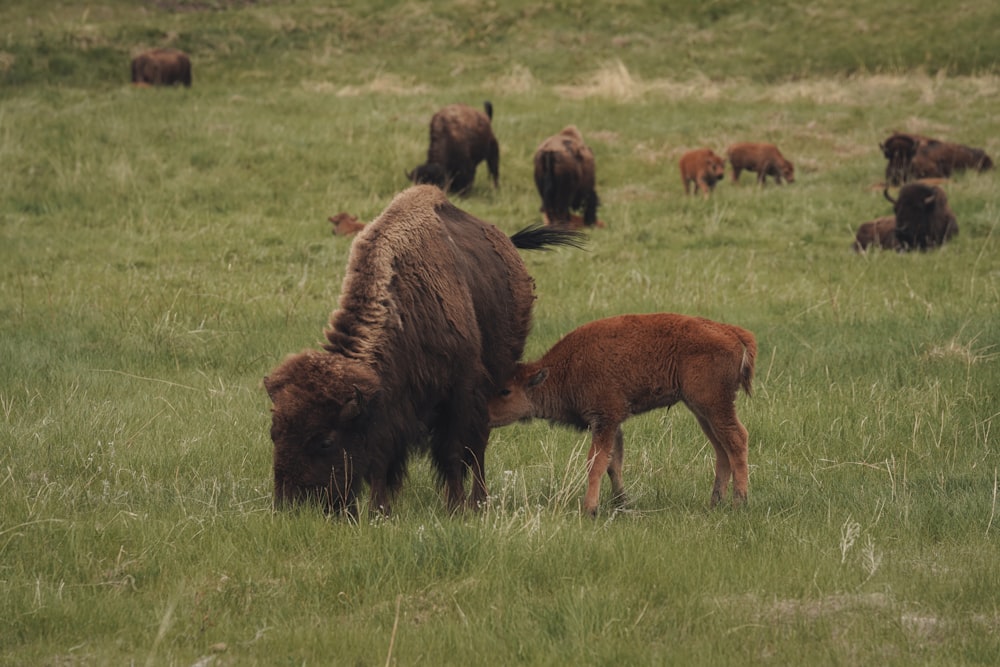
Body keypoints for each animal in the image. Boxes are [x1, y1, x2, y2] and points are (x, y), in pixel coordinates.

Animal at [262, 185, 584, 520]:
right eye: (274, 433)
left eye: (325, 441)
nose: (292, 507)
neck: (405, 309)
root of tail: (505, 242)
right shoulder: (389, 409)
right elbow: (382, 459)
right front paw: (380, 510)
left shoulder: (460, 391)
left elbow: (454, 451)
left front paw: (455, 508)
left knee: (478, 446)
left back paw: (478, 501)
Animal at [488, 314, 752, 516]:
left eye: (506, 391)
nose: (486, 415)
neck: (566, 367)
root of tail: (731, 331)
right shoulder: (612, 424)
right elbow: (613, 463)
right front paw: (621, 502)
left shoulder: (606, 418)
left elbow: (595, 462)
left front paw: (590, 509)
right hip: (701, 411)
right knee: (722, 449)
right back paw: (715, 503)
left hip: (714, 405)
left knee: (737, 439)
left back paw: (739, 502)